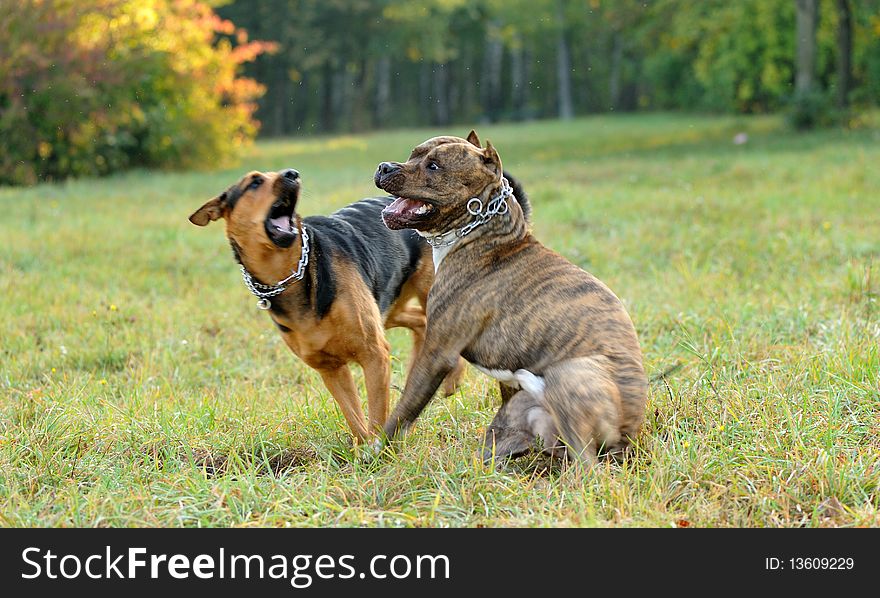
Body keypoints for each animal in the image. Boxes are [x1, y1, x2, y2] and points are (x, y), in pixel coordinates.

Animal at [372, 134, 648, 466]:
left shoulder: (438, 351)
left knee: (586, 464)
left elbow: (405, 408)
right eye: (414, 154)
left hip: (570, 375)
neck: (484, 235)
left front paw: (373, 455)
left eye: (434, 166)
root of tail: (628, 437)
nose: (384, 167)